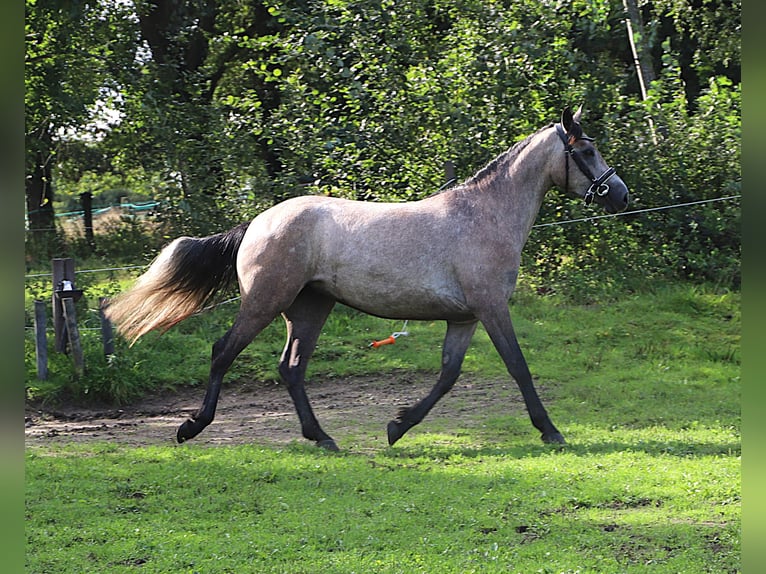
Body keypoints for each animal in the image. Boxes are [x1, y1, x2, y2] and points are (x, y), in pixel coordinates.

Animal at [106, 107, 629, 450]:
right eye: (587, 150)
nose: (621, 195)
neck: (483, 216)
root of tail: (256, 222)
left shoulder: (464, 319)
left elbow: (448, 376)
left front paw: (398, 427)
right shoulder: (491, 308)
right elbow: (518, 367)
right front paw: (551, 431)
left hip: (310, 309)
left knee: (291, 368)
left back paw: (323, 438)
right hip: (265, 301)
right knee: (223, 353)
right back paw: (191, 427)